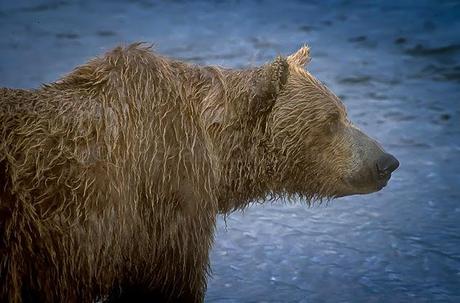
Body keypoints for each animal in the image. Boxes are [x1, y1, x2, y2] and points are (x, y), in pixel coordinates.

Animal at [0, 43, 398, 303]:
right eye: (331, 120)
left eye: (344, 111)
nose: (387, 162)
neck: (219, 152)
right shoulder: (161, 199)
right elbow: (168, 283)